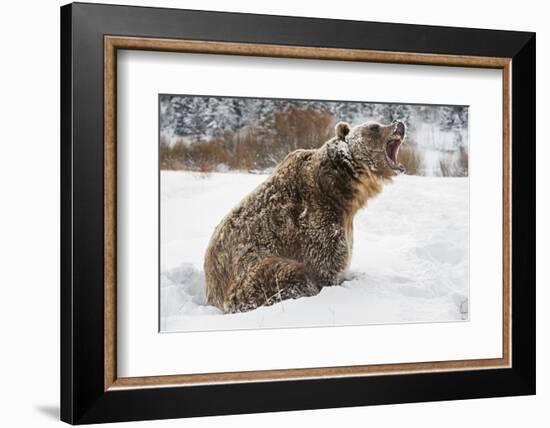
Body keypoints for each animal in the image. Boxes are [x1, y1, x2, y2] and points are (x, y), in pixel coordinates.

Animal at [205, 118, 408, 312]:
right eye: (374, 127)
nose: (399, 124)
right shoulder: (314, 217)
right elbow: (326, 263)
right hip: (249, 272)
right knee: (288, 273)